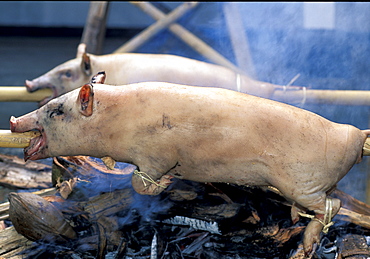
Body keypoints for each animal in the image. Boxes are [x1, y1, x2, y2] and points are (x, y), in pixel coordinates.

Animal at [10, 72, 370, 256]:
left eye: (57, 111)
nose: (13, 121)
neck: (118, 122)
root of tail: (355, 136)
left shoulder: (157, 155)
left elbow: (141, 182)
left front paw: (166, 184)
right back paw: (296, 219)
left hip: (301, 182)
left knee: (333, 206)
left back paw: (306, 241)